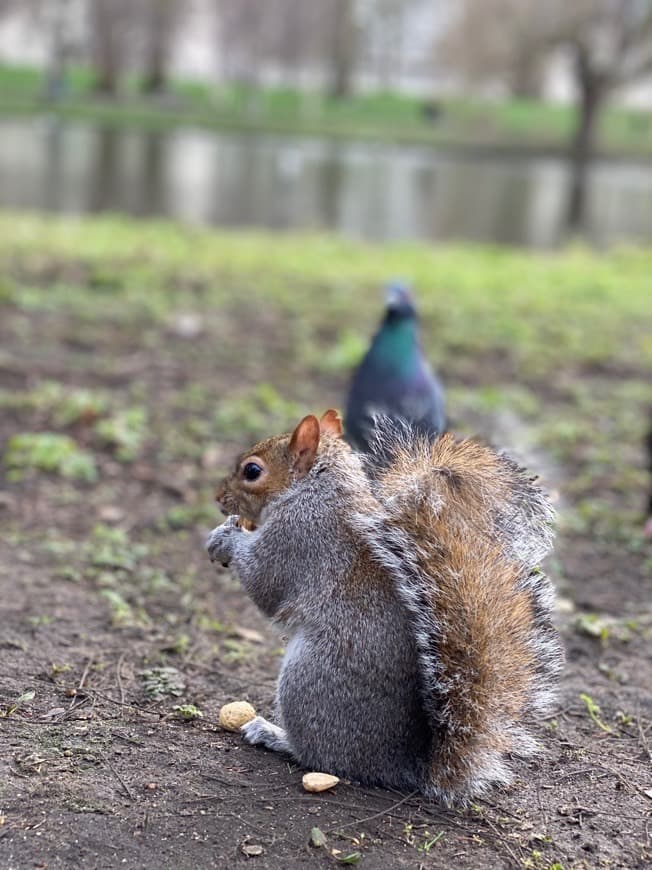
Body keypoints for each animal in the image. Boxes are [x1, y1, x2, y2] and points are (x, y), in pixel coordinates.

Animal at [206, 408, 564, 804]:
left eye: (252, 471)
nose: (219, 497)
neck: (315, 489)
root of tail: (405, 766)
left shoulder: (298, 538)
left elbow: (265, 583)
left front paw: (226, 538)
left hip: (310, 681)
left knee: (322, 757)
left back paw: (275, 735)